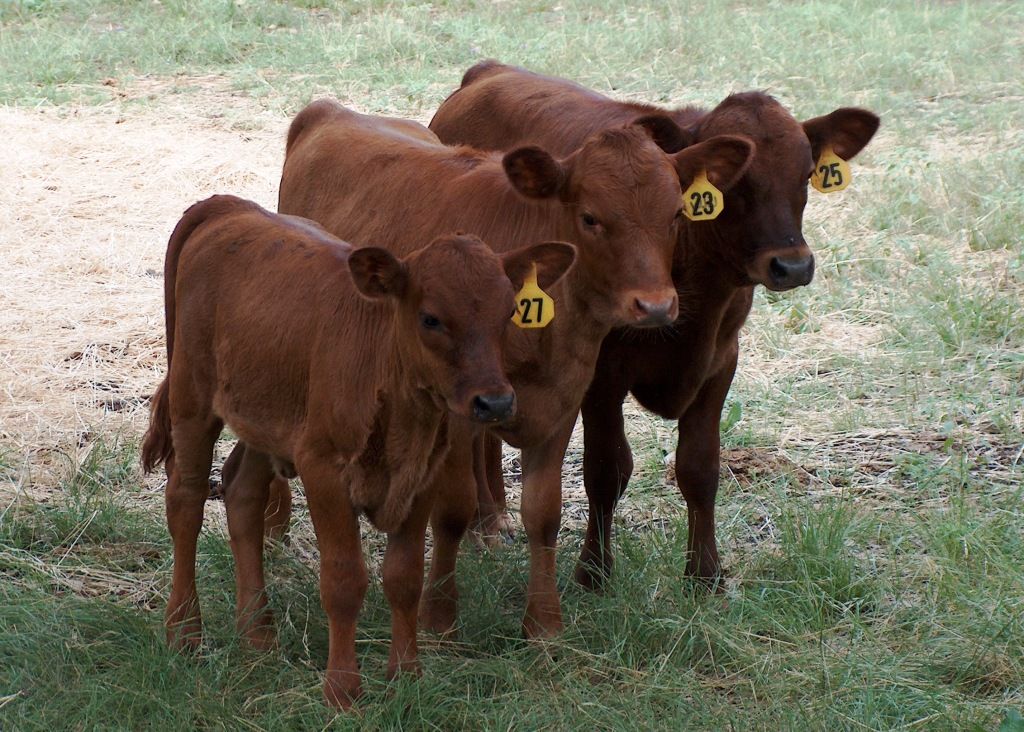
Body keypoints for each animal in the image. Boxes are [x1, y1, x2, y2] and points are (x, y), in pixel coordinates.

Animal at [141, 194, 575, 708]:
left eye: (509, 312)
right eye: (430, 317)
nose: (495, 402)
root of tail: (229, 206)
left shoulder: (421, 476)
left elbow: (404, 578)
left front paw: (407, 676)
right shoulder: (323, 468)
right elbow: (345, 580)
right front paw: (343, 691)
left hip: (266, 416)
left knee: (242, 493)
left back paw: (258, 637)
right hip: (192, 398)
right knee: (185, 501)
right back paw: (184, 632)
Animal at [218, 99, 755, 640]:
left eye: (676, 214)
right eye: (590, 217)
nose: (656, 305)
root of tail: (330, 110)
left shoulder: (563, 402)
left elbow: (543, 512)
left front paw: (543, 624)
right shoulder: (454, 414)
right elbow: (450, 511)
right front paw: (440, 618)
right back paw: (276, 523)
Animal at [429, 60, 880, 589]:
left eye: (806, 173)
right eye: (735, 184)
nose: (792, 265)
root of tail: (489, 71)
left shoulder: (720, 362)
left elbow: (700, 468)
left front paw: (704, 574)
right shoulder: (601, 373)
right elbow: (606, 470)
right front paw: (593, 572)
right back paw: (485, 521)